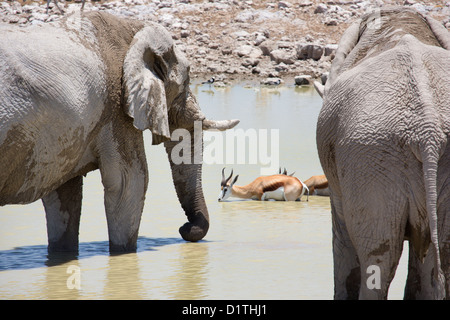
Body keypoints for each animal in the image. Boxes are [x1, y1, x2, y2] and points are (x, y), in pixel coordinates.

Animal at [0, 11, 239, 252]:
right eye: (188, 78)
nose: (186, 228)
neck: (134, 28)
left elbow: (64, 193)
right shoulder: (116, 108)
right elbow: (130, 182)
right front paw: (124, 255)